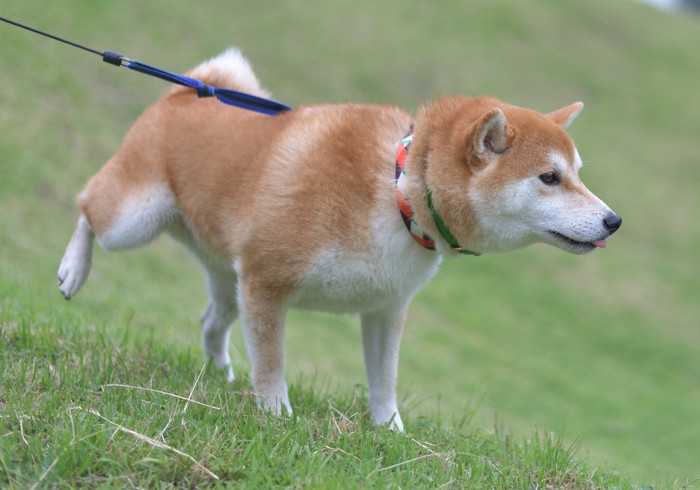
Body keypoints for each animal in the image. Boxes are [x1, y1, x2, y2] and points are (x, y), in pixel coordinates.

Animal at [57, 48, 620, 428]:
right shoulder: (268, 282)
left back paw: (220, 372)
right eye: (549, 178)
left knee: (211, 320)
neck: (396, 193)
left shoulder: (385, 309)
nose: (614, 221)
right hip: (135, 220)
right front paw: (275, 413)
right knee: (86, 206)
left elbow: (385, 381)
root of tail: (190, 89)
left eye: (577, 173)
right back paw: (73, 269)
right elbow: (273, 362)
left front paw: (390, 432)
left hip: (229, 278)